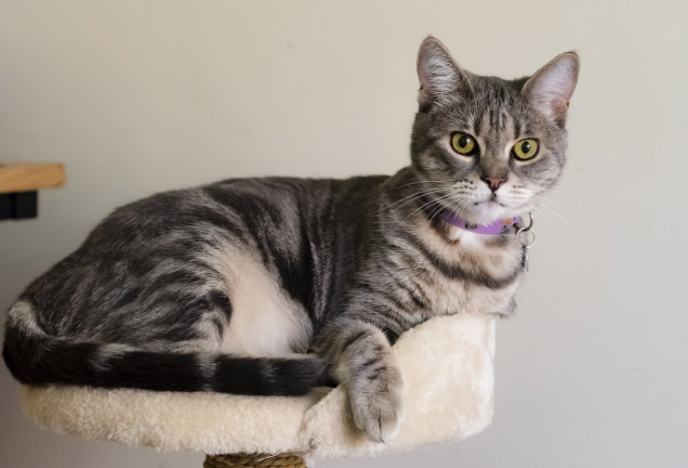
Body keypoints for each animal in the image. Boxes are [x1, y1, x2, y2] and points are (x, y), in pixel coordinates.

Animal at [2, 36, 576, 442]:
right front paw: (381, 403)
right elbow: (370, 344)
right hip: (192, 267)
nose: (495, 180)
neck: (471, 255)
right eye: (463, 143)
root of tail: (61, 267)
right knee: (176, 374)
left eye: (525, 148)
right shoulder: (350, 316)